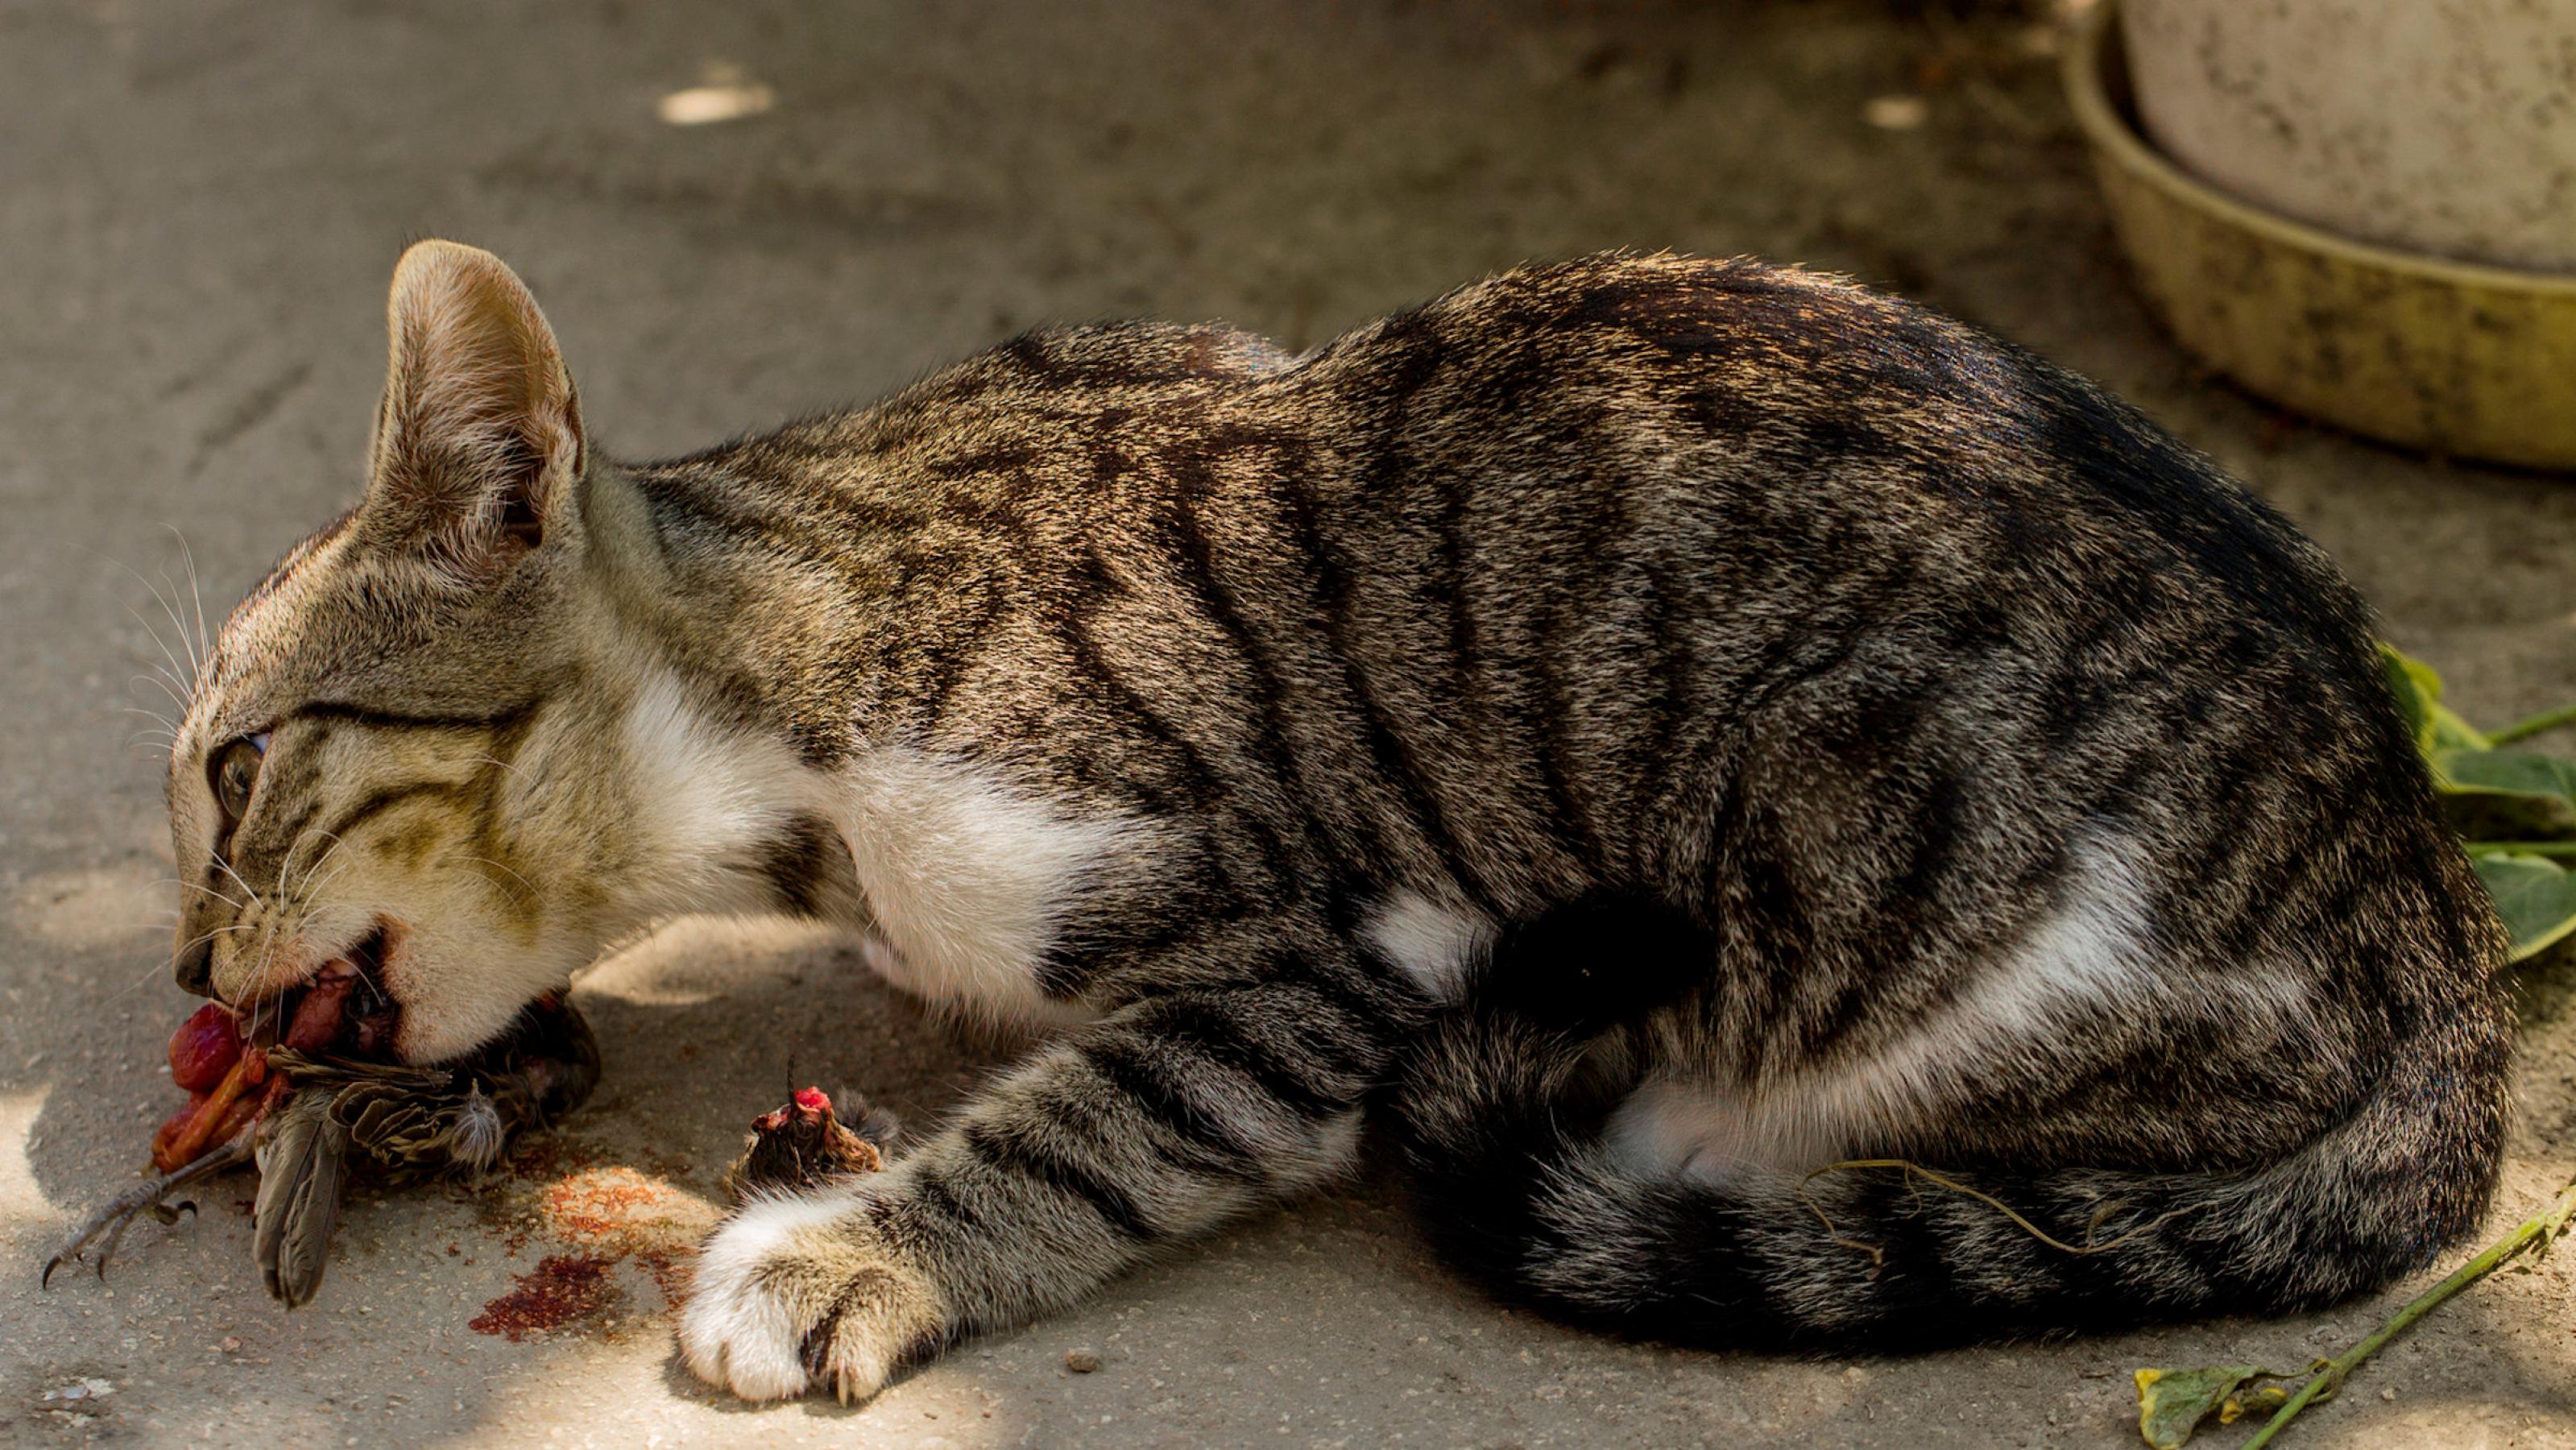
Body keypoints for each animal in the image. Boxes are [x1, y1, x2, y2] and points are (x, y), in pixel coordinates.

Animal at [160, 243, 2493, 1401]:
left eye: (231, 772)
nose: (179, 962)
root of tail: (2440, 930)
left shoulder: (1355, 944)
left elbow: (1103, 1120)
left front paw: (841, 1255)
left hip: (1883, 865)